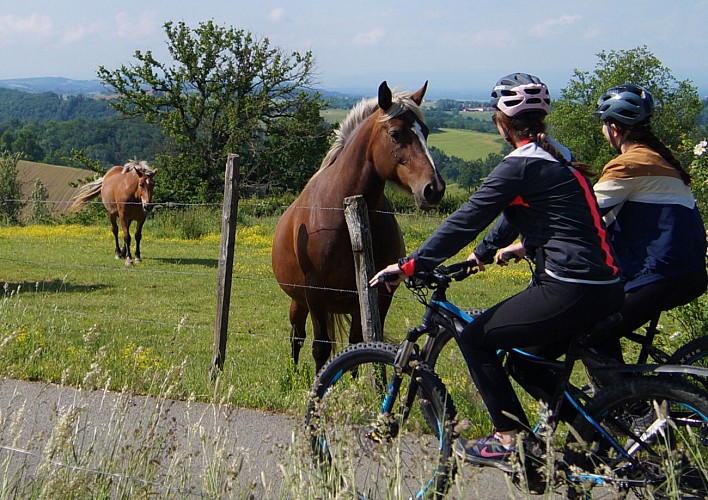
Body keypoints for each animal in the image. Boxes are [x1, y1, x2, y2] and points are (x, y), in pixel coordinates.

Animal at [272, 82, 442, 372]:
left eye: (426, 131)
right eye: (395, 134)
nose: (434, 188)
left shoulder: (380, 294)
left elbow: (365, 346)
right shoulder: (316, 295)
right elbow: (321, 348)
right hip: (299, 301)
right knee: (297, 337)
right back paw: (293, 376)